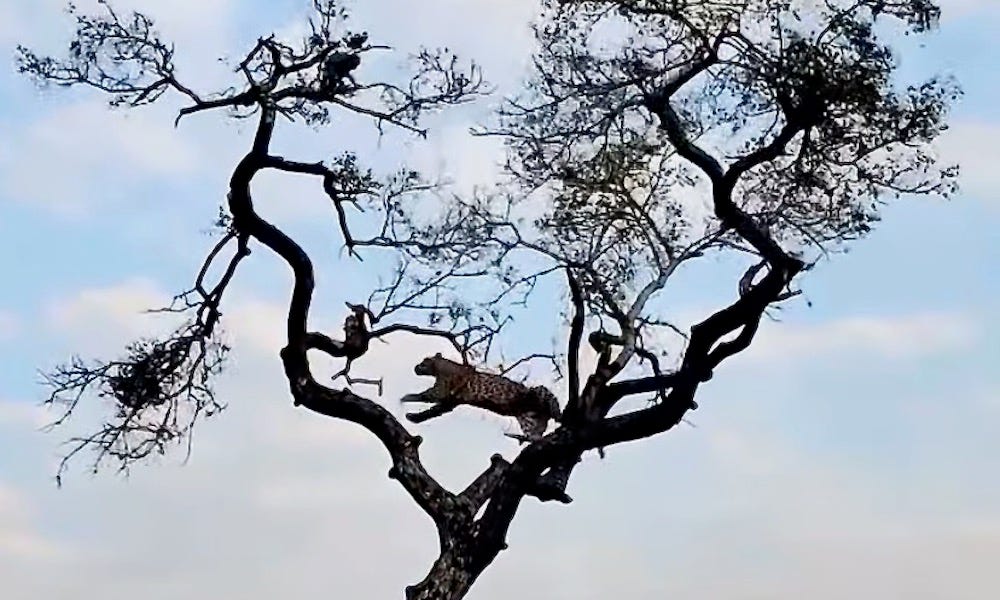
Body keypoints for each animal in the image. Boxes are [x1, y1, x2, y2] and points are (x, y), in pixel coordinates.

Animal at [400, 353, 561, 441]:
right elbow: (430, 412)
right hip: (528, 418)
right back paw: (528, 438)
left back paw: (559, 416)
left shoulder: (440, 389)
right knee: (536, 435)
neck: (440, 366)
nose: (415, 367)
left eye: (423, 362)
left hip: (539, 391)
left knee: (554, 406)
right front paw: (412, 417)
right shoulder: (448, 402)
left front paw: (405, 397)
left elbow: (424, 395)